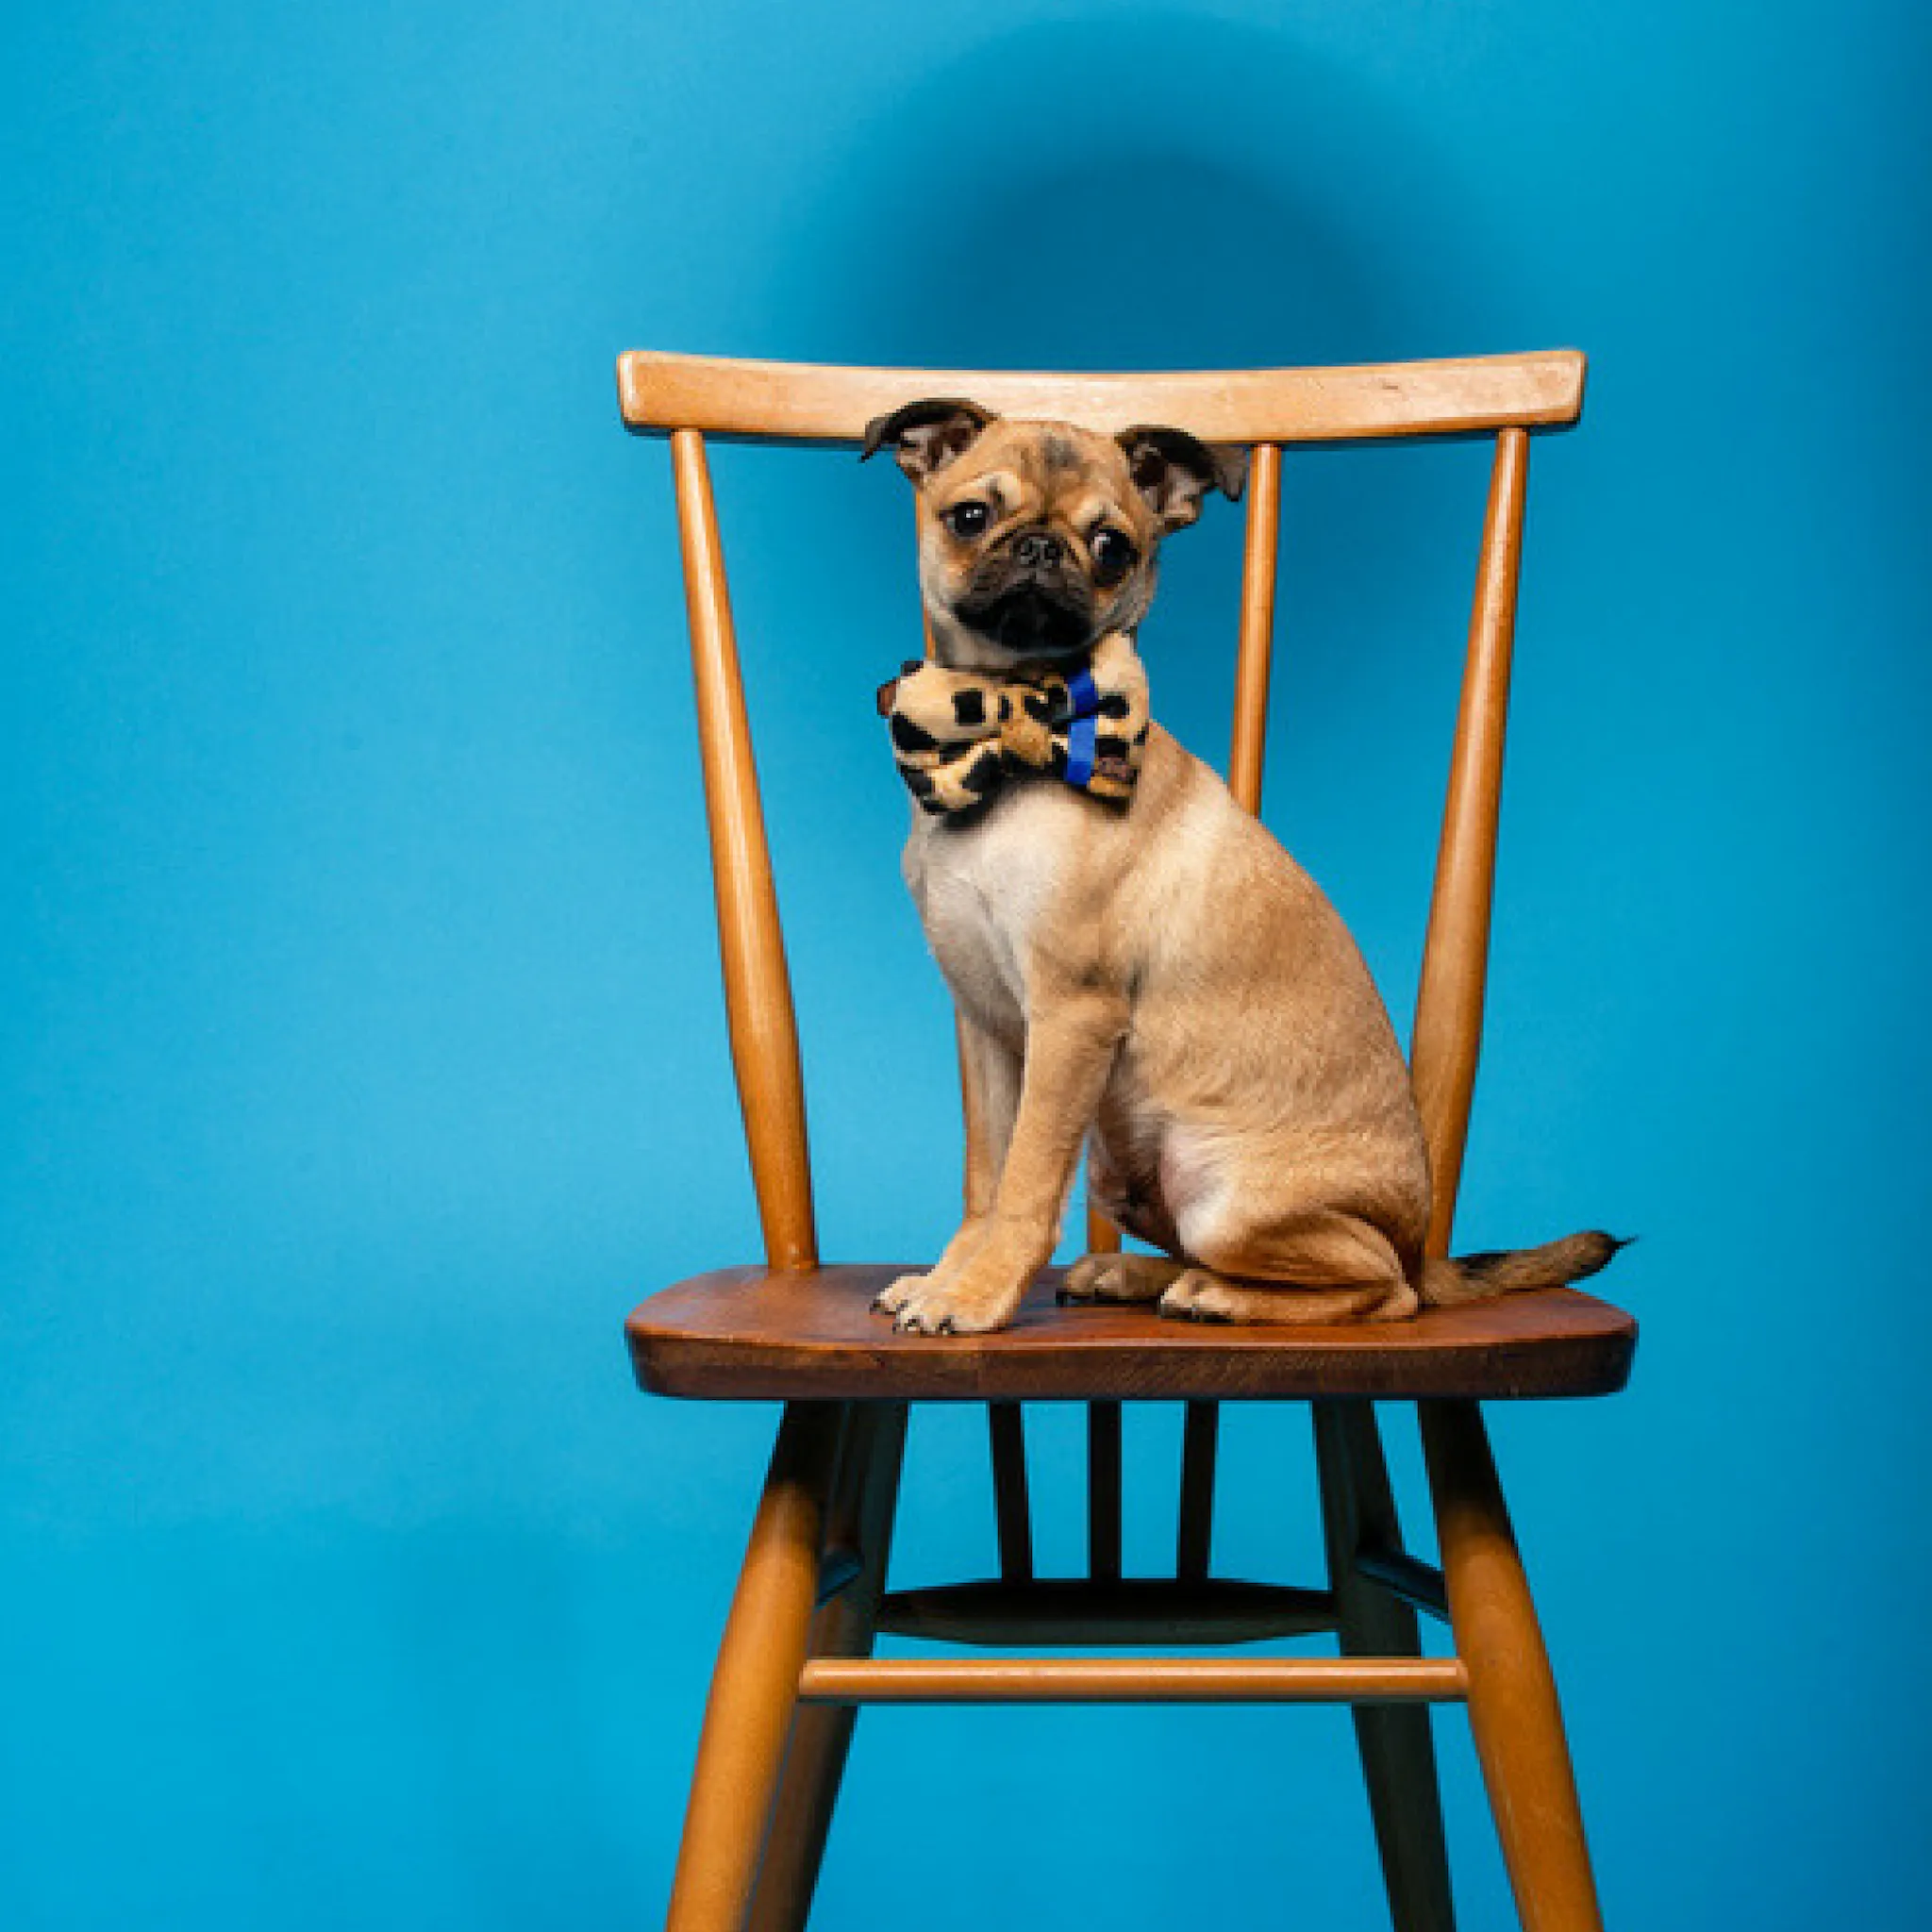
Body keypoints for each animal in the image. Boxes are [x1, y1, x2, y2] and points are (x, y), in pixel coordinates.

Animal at [861, 399, 1615, 1337]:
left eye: (1112, 547)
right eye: (970, 516)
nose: (1040, 548)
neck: (1011, 727)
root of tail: (1424, 1247)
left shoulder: (1070, 1018)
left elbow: (1026, 1185)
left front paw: (976, 1294)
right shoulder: (989, 1027)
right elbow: (985, 1177)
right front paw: (948, 1274)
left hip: (1225, 1195)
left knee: (1379, 1290)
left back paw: (1216, 1296)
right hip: (1125, 1170)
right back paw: (1135, 1274)